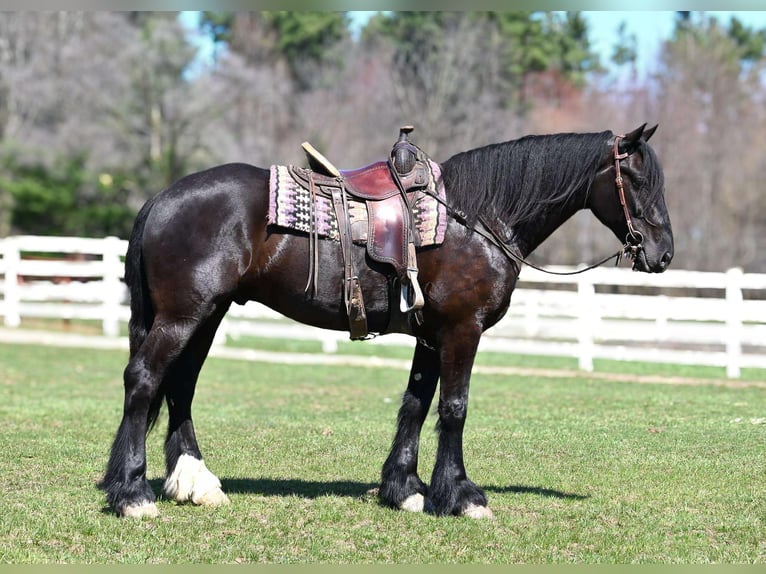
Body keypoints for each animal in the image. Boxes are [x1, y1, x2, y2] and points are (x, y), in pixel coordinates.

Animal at [100, 123, 673, 519]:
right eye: (635, 178)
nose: (664, 253)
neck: (475, 217)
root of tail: (161, 198)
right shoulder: (461, 330)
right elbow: (454, 408)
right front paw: (460, 496)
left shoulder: (432, 336)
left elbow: (416, 405)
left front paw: (405, 490)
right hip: (184, 315)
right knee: (144, 380)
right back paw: (132, 493)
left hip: (207, 315)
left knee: (180, 387)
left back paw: (194, 482)